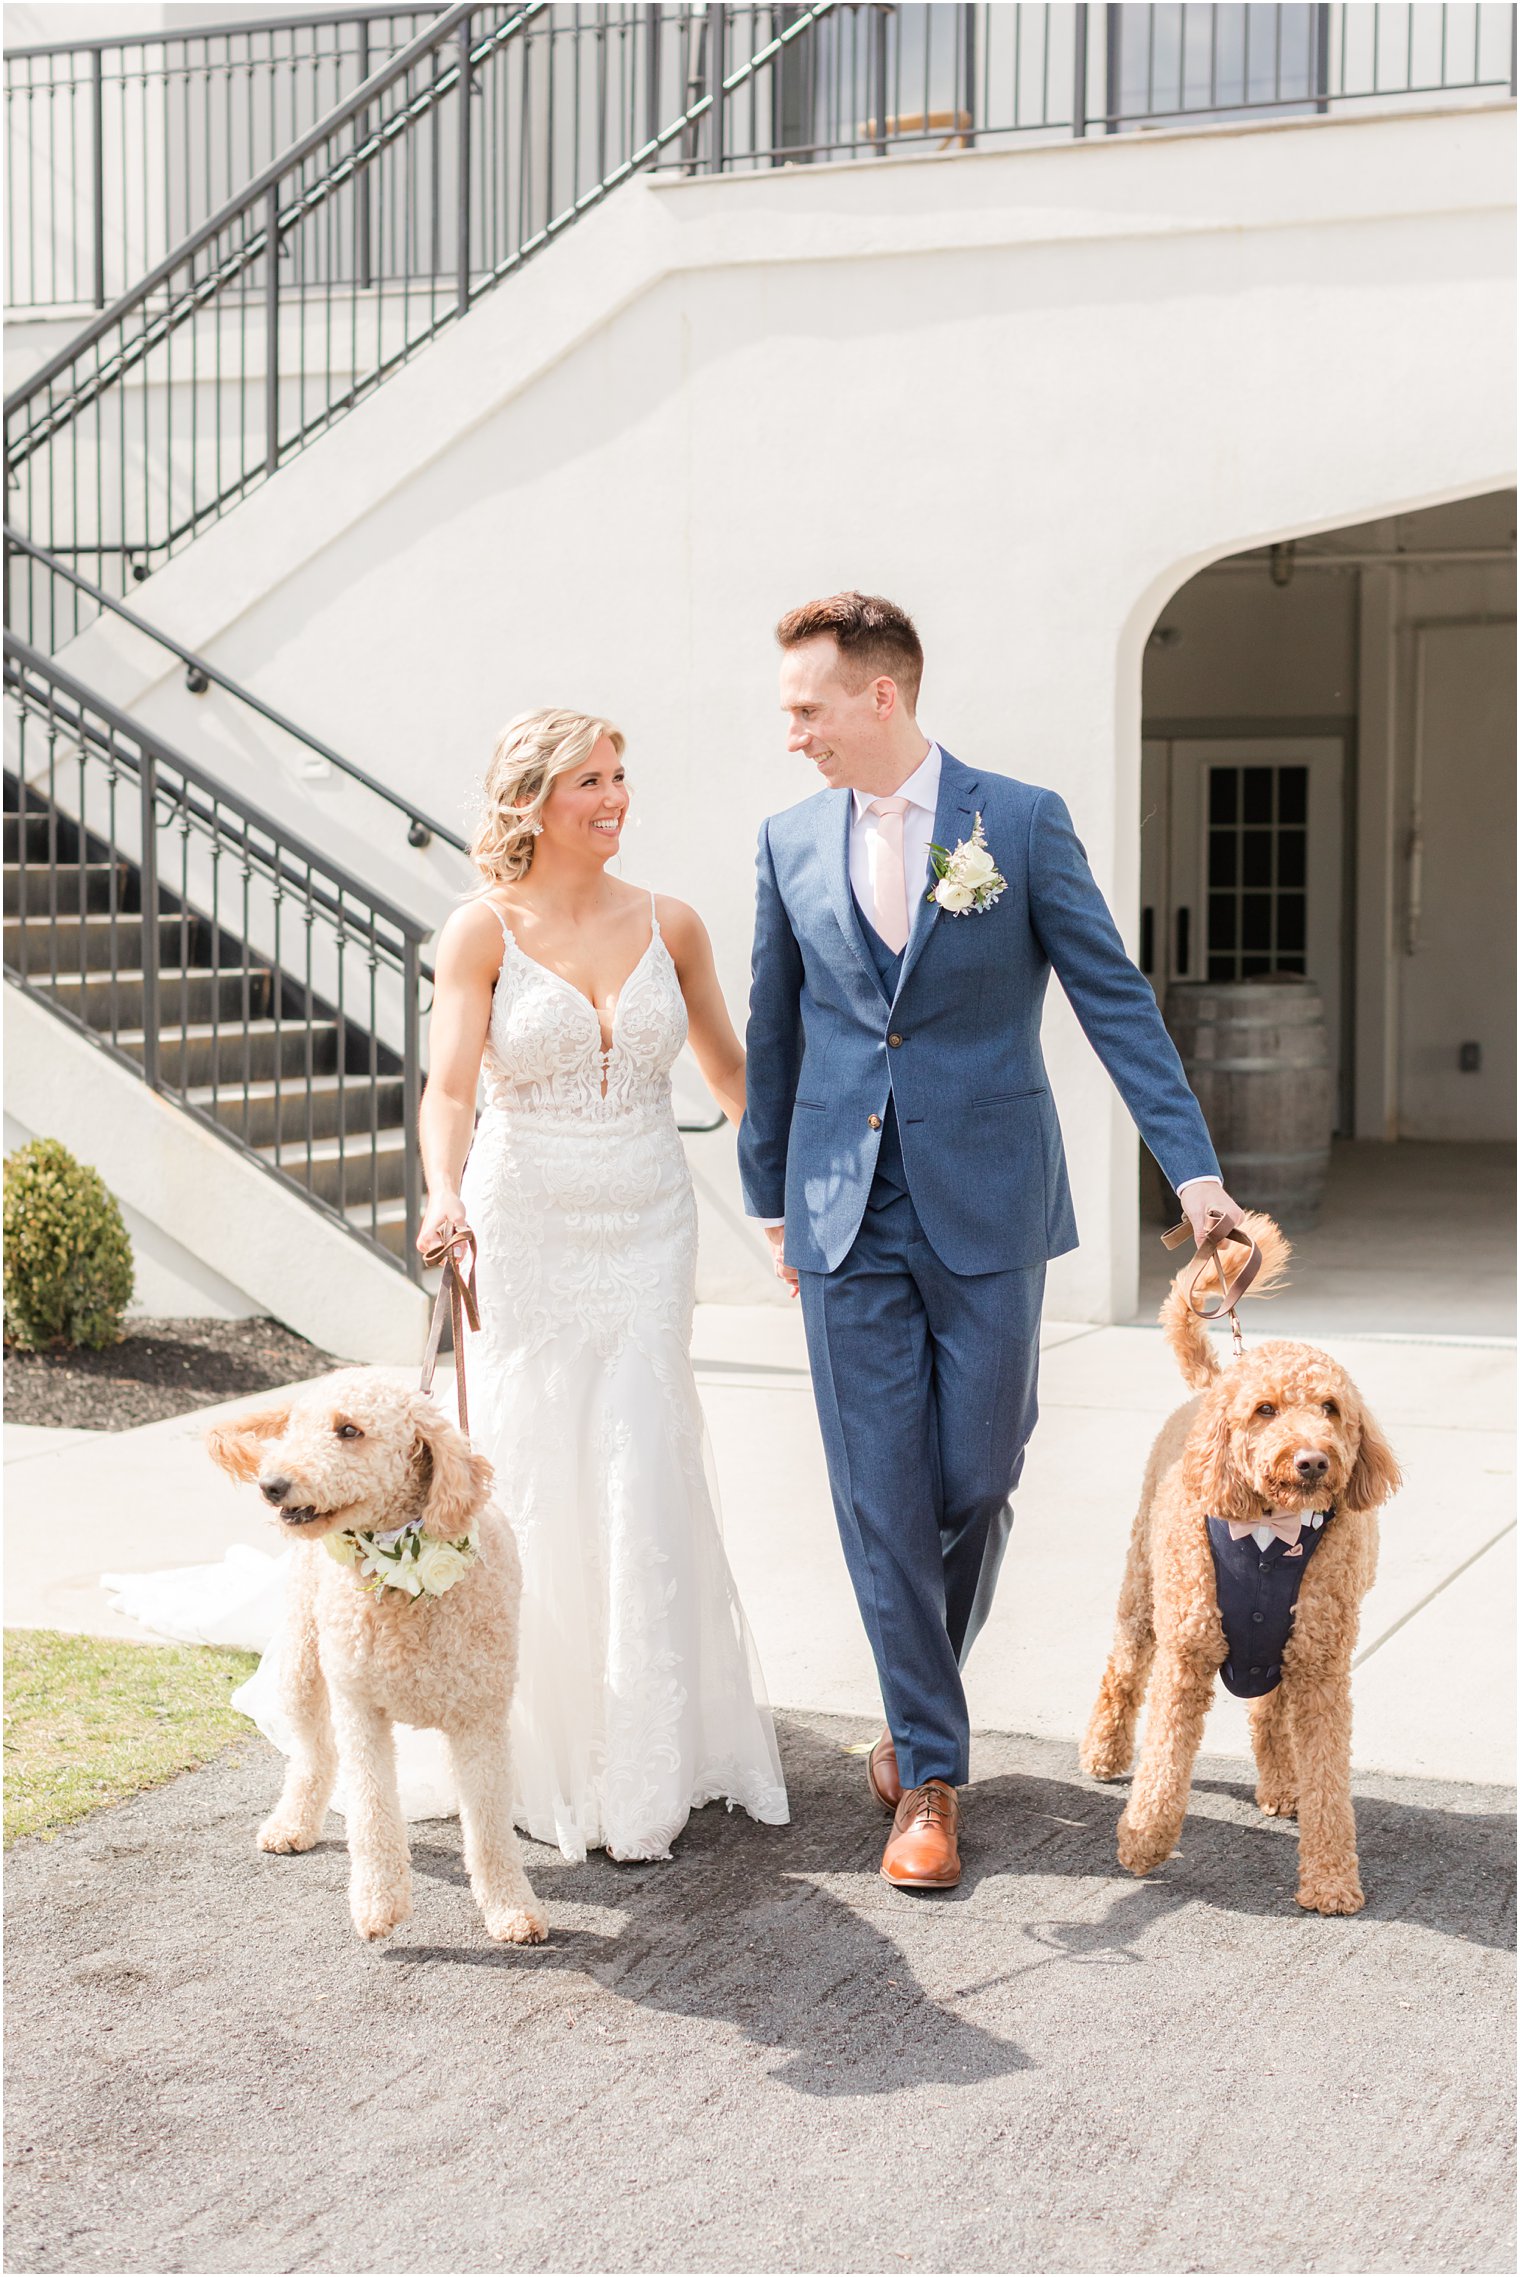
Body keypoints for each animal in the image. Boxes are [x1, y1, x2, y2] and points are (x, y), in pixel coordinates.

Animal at [208, 1375, 546, 1949]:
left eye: (350, 1430)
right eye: (297, 1428)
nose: (271, 1484)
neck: (404, 1578)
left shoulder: (479, 1719)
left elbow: (490, 1828)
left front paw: (511, 1909)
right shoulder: (360, 1709)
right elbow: (371, 1815)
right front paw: (378, 1903)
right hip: (303, 1661)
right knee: (313, 1754)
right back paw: (292, 1825)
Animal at [1078, 1220, 1401, 1912]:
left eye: (1331, 1408)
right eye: (1266, 1410)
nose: (1313, 1460)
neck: (1269, 1531)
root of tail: (1212, 1385)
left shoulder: (1321, 1669)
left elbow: (1330, 1785)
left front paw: (1330, 1880)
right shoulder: (1186, 1652)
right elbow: (1165, 1760)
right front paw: (1143, 1841)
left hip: (1282, 1649)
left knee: (1267, 1715)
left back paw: (1281, 1785)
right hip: (1144, 1593)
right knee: (1122, 1671)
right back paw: (1104, 1752)